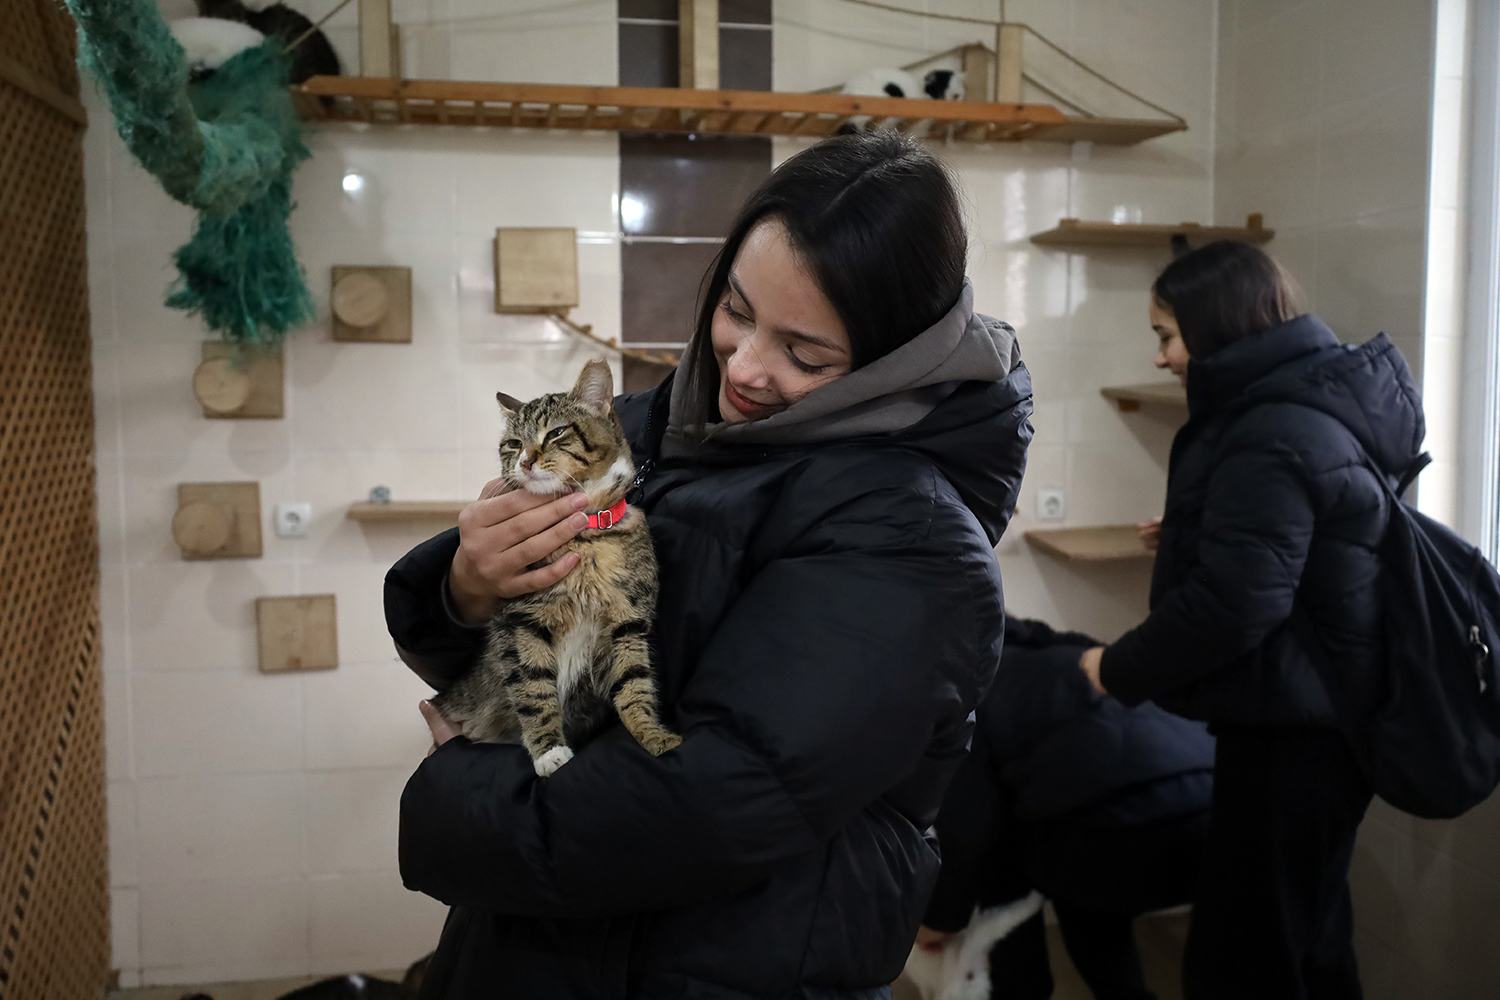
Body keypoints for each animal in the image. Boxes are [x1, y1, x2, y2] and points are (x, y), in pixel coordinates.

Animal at [426, 364, 678, 779]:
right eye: (513, 443)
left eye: (556, 432)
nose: (525, 460)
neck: (585, 534)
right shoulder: (522, 622)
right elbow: (533, 687)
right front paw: (549, 751)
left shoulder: (628, 622)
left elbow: (634, 682)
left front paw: (652, 733)